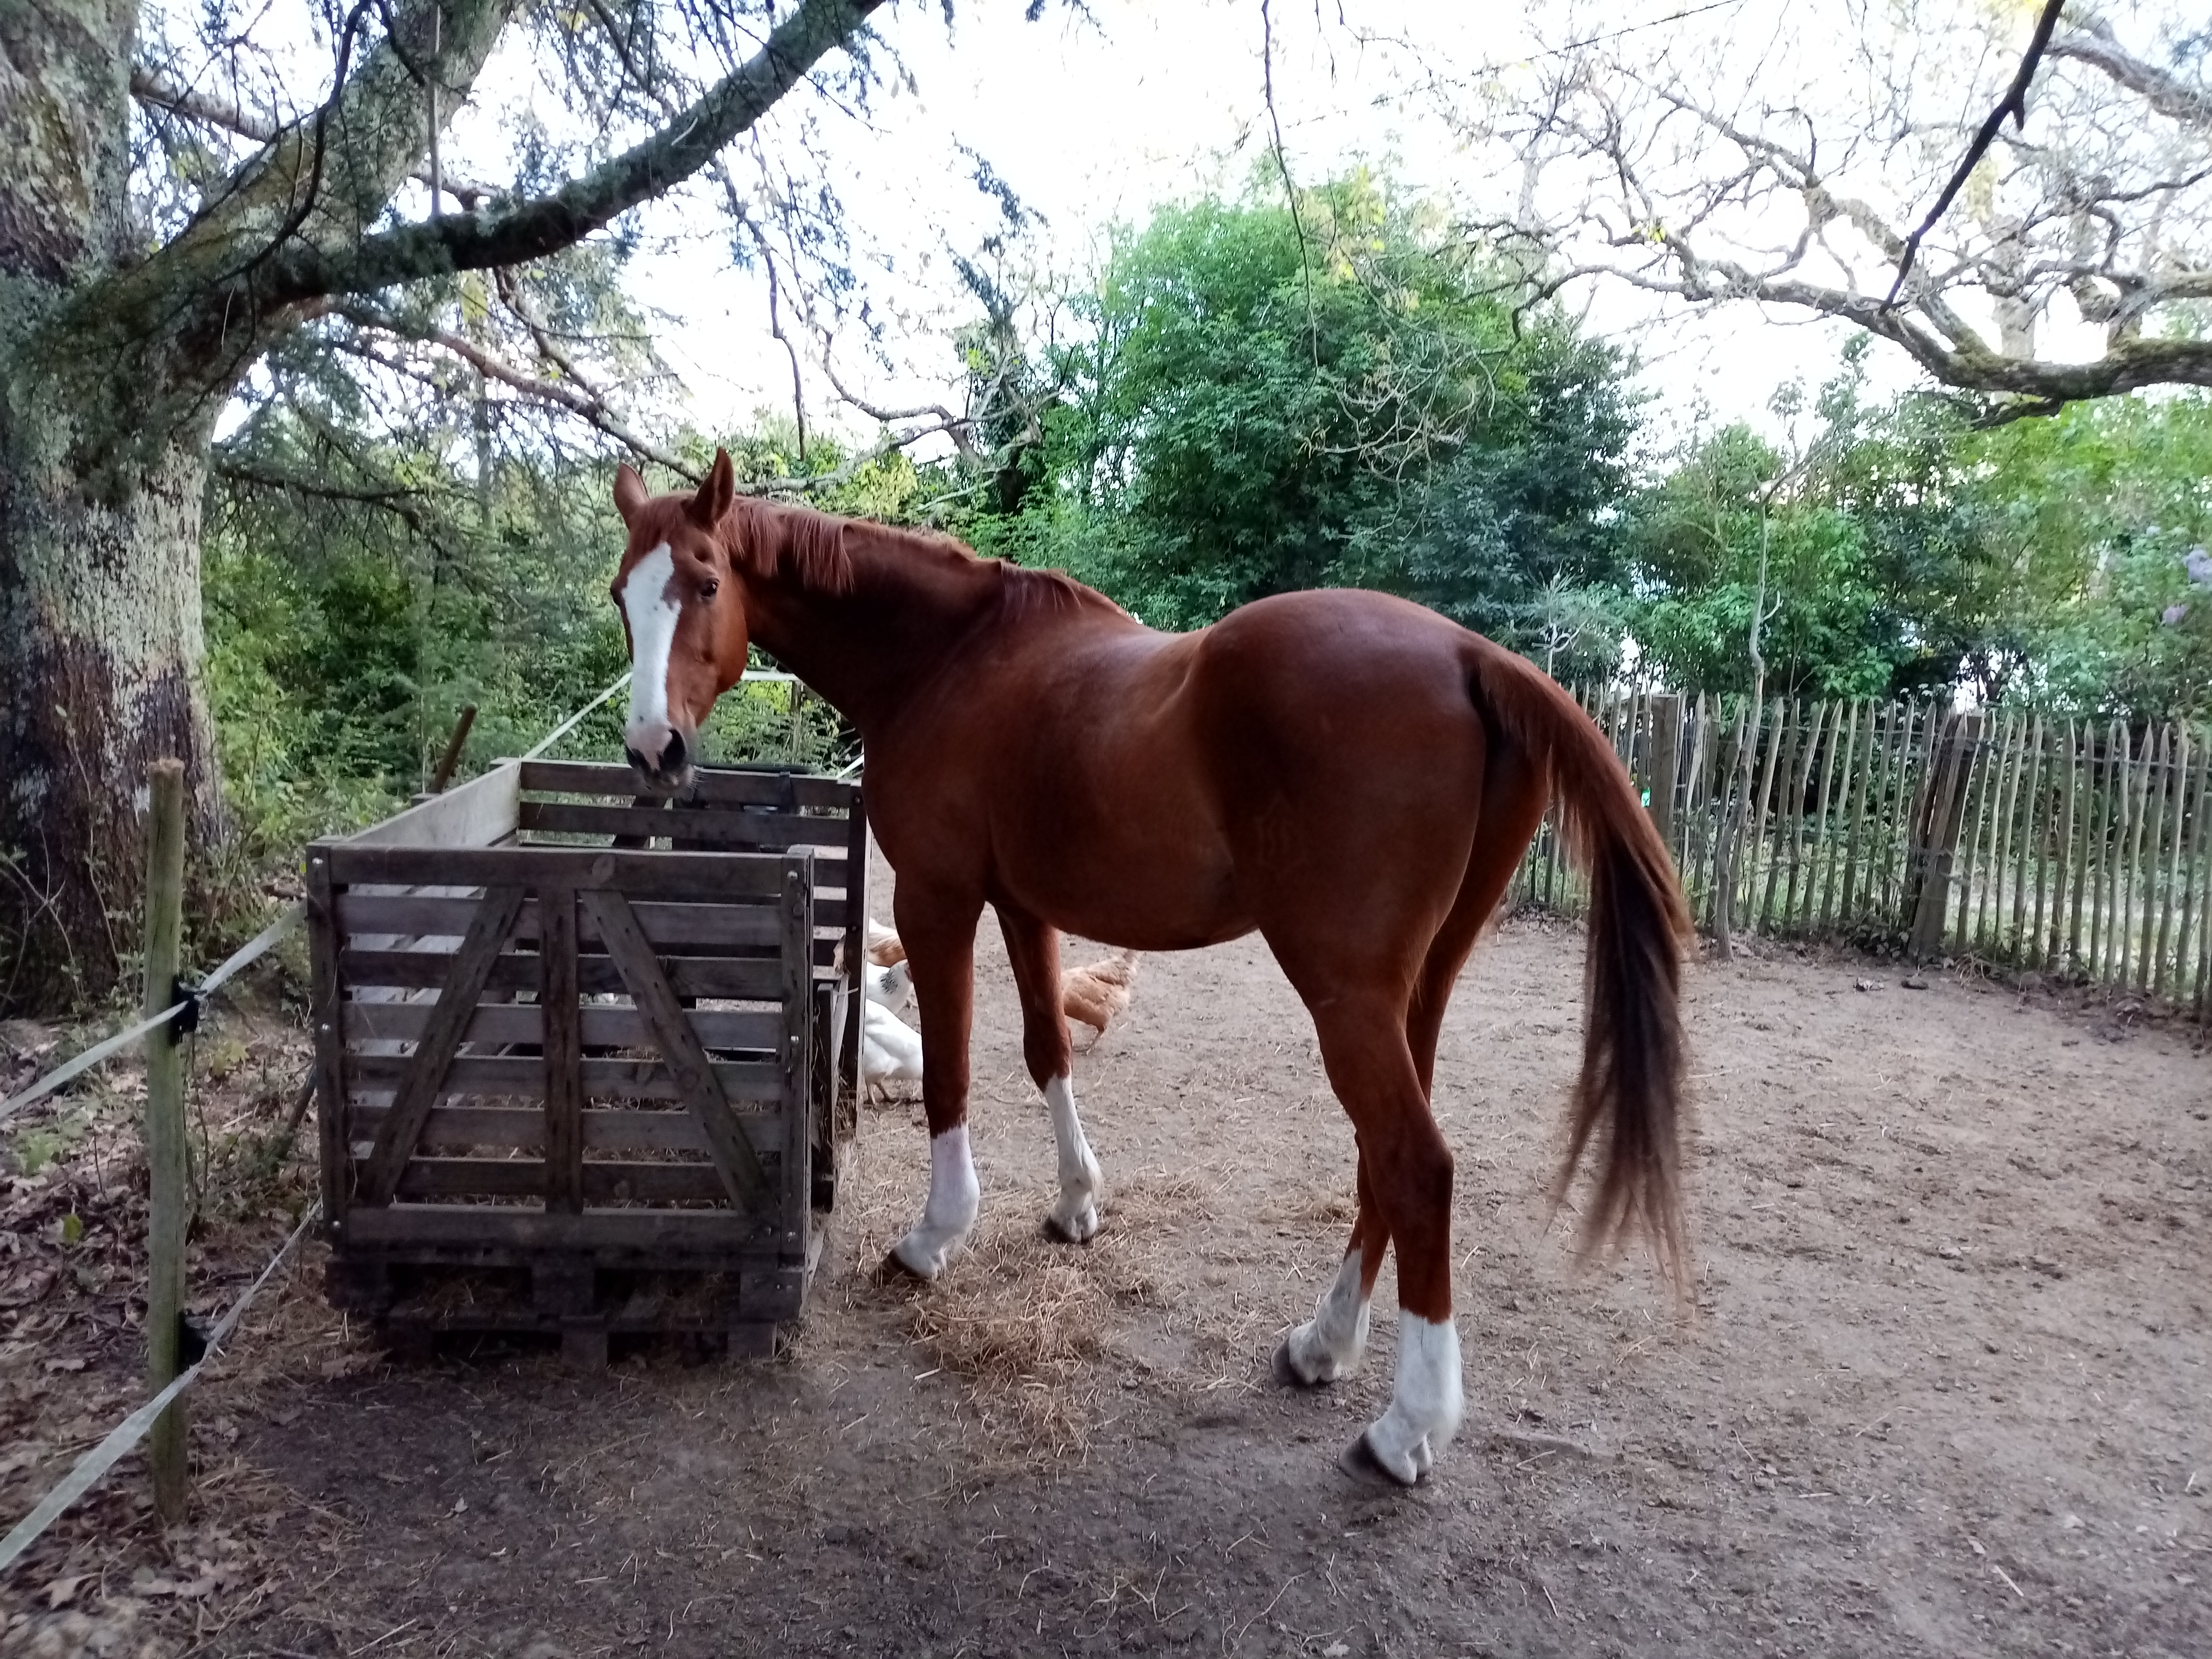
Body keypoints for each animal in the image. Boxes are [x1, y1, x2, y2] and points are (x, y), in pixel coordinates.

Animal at [615, 451, 1681, 1477]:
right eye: (624, 593)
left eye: (705, 583)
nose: (652, 750)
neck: (948, 659)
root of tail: (1470, 654)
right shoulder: (1024, 908)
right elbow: (1048, 1050)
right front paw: (1076, 1204)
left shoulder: (936, 900)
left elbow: (950, 1071)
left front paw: (935, 1236)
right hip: (1418, 988)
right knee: (1383, 1162)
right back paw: (1323, 1344)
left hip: (1344, 994)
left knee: (1415, 1167)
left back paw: (1405, 1427)